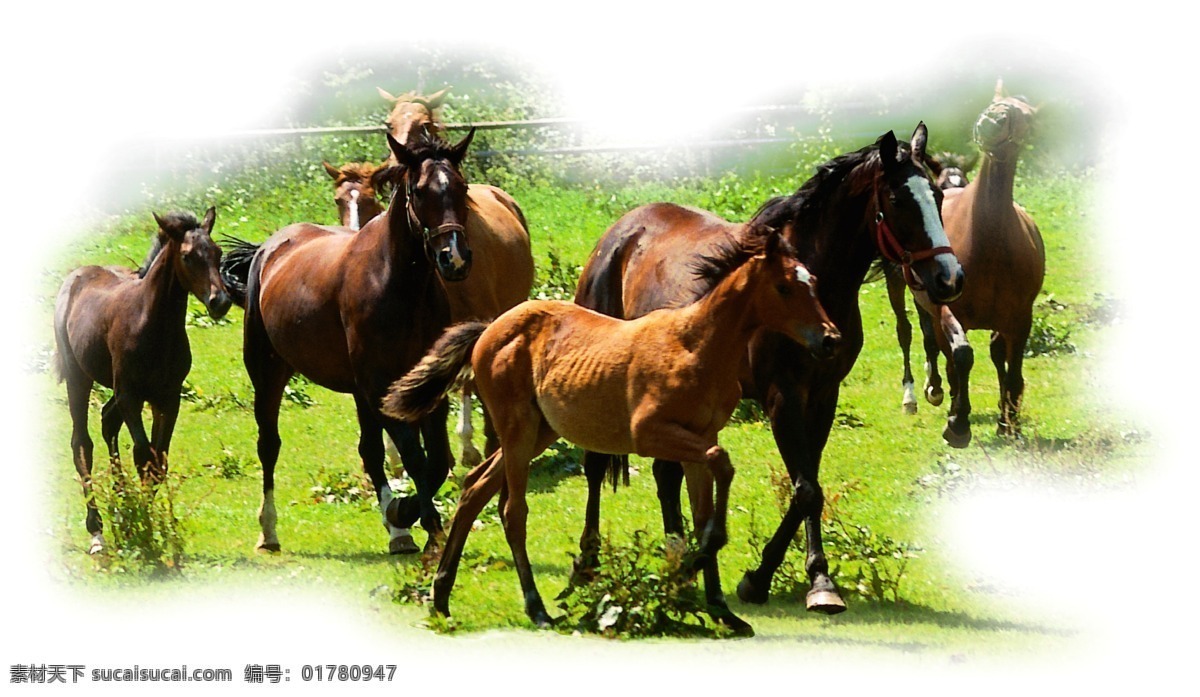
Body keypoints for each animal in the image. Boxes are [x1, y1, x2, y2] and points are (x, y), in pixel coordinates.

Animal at [53, 208, 231, 554]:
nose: (220, 302)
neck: (152, 325)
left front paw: (143, 523)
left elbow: (158, 462)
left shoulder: (168, 398)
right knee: (82, 443)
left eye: (218, 253)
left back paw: (120, 506)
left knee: (107, 421)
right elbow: (142, 454)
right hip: (78, 377)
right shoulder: (130, 396)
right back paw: (97, 532)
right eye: (187, 256)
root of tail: (76, 275)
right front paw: (142, 528)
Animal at [219, 129, 477, 555]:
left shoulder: (423, 386)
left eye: (462, 187)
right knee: (269, 444)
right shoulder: (379, 386)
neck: (398, 285)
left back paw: (397, 530)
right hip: (268, 371)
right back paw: (269, 531)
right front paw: (426, 524)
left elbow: (436, 459)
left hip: (356, 392)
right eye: (419, 191)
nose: (453, 258)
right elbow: (415, 456)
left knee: (370, 452)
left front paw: (405, 515)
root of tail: (268, 249)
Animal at [383, 223, 842, 634]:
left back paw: (441, 597)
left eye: (814, 282)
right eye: (784, 287)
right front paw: (700, 557)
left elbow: (703, 505)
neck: (698, 345)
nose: (831, 339)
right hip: (517, 429)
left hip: (539, 431)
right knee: (512, 511)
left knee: (475, 488)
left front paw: (719, 605)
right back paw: (536, 608)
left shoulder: (701, 437)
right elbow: (722, 464)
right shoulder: (650, 432)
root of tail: (487, 330)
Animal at [571, 125, 964, 614]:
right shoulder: (783, 397)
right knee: (594, 465)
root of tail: (621, 233)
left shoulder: (823, 397)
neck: (812, 287)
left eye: (937, 194)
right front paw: (758, 581)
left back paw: (679, 561)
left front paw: (819, 581)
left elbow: (809, 486)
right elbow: (807, 489)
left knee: (666, 473)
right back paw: (590, 562)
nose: (949, 278)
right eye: (896, 199)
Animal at [912, 82, 1044, 446]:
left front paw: (1010, 423)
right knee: (944, 352)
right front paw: (958, 423)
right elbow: (961, 356)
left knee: (997, 355)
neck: (987, 243)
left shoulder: (1020, 316)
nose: (992, 122)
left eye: (1026, 117)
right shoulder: (949, 310)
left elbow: (1013, 368)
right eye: (993, 103)